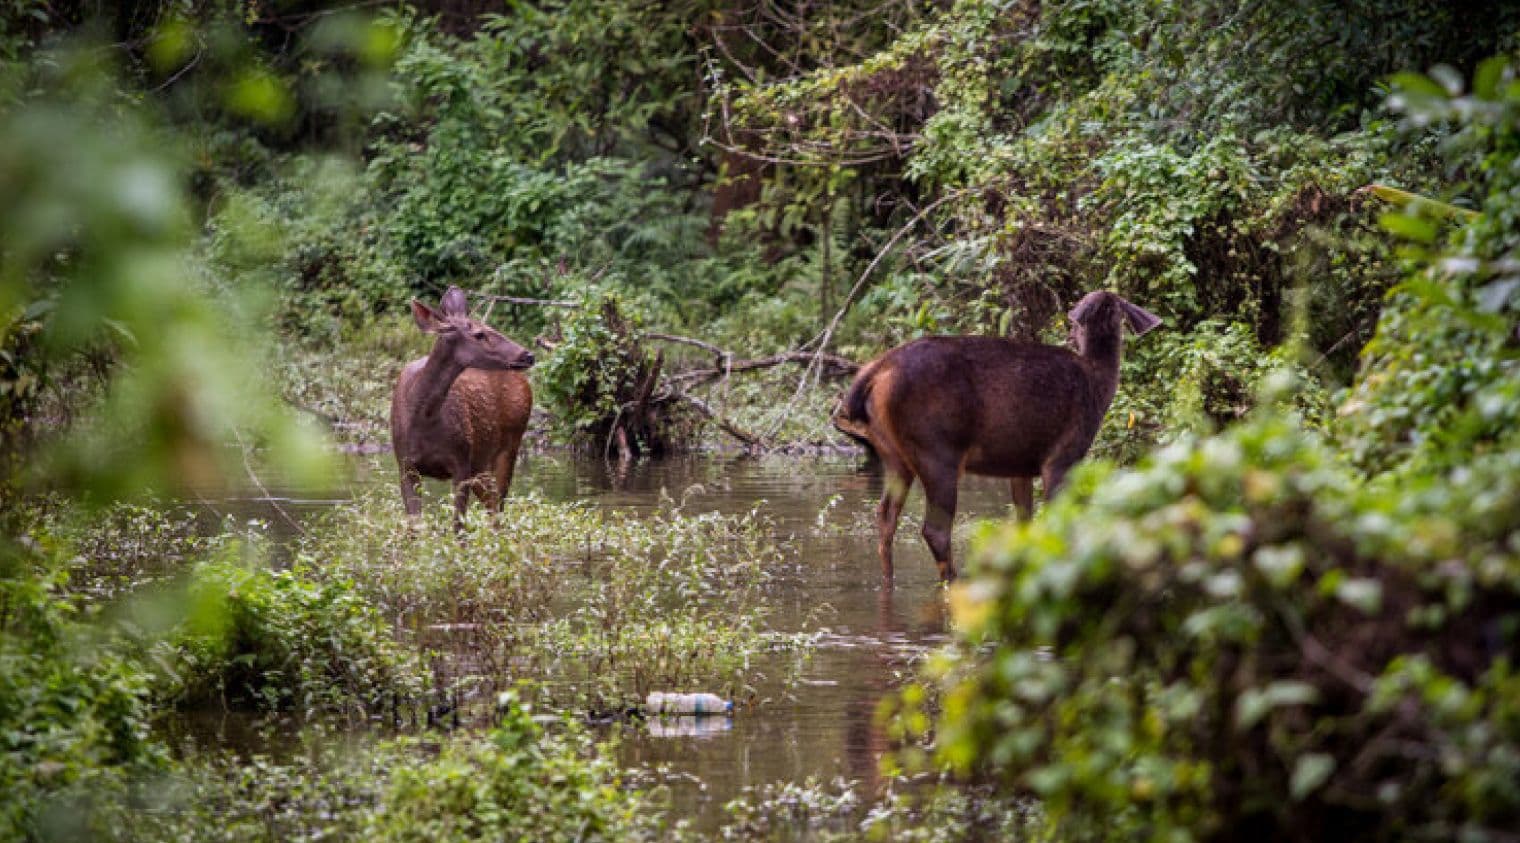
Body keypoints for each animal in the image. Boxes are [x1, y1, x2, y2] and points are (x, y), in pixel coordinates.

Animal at [389, 287, 538, 525]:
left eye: (492, 327)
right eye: (479, 334)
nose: (528, 355)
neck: (424, 419)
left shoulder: (461, 462)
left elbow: (457, 524)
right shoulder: (405, 464)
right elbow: (415, 526)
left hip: (509, 443)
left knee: (498, 506)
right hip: (480, 462)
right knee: (493, 504)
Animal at [832, 290, 1161, 580]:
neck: (1098, 381)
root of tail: (873, 373)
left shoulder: (1021, 465)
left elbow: (1025, 522)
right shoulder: (1064, 455)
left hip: (893, 454)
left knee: (886, 516)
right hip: (936, 449)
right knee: (934, 529)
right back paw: (954, 581)